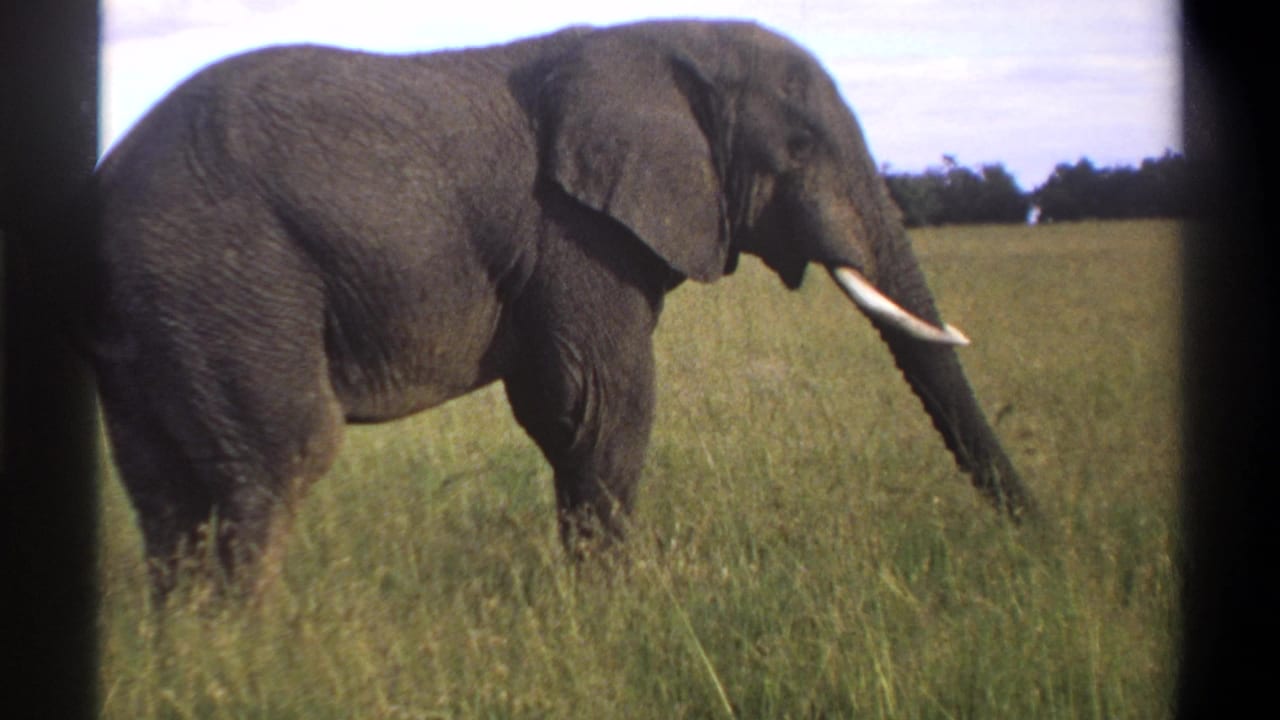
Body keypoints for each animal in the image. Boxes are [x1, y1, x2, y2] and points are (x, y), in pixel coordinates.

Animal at [81, 19, 1034, 597]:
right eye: (798, 146)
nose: (1042, 540)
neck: (662, 40)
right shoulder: (573, 232)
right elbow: (596, 405)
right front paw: (615, 609)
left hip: (155, 312)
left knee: (164, 487)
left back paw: (192, 653)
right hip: (223, 275)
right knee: (280, 457)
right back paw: (253, 652)